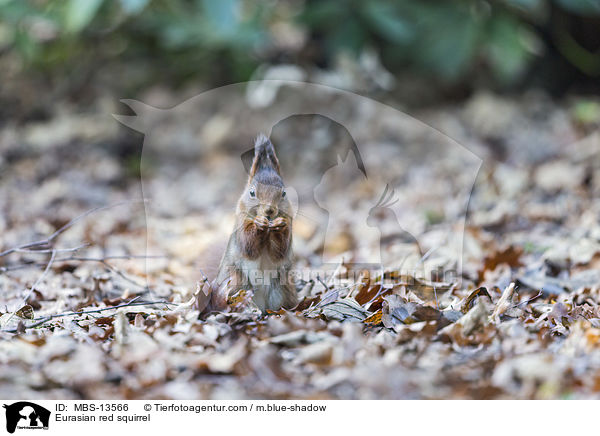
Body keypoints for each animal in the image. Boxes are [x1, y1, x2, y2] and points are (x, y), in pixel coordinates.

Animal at [210, 135, 298, 312]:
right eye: (252, 192)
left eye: (284, 193)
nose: (269, 211)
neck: (267, 232)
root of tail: (261, 305)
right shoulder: (240, 225)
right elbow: (248, 245)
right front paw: (258, 224)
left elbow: (280, 250)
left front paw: (279, 226)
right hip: (236, 283)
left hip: (283, 287)